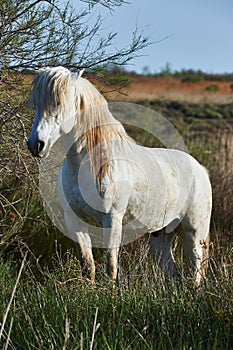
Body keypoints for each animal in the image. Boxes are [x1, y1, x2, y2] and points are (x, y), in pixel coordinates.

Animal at [26, 65, 211, 284]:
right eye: (36, 104)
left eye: (59, 102)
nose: (36, 145)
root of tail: (200, 169)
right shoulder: (75, 222)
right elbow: (88, 266)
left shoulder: (112, 220)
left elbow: (111, 266)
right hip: (161, 235)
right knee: (172, 273)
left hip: (194, 233)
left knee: (195, 274)